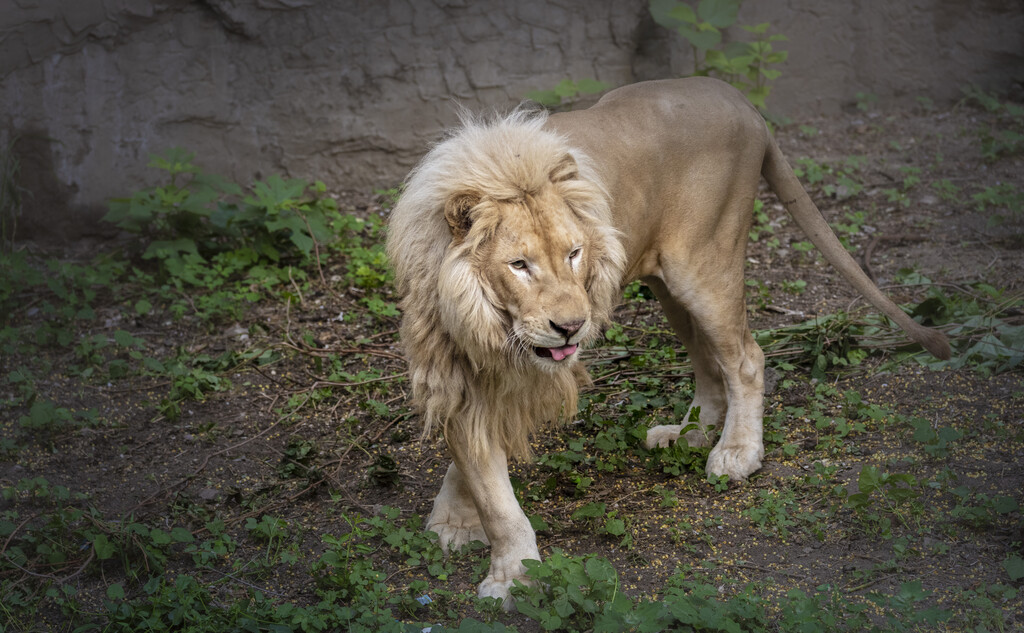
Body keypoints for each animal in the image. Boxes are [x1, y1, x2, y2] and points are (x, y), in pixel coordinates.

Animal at [385, 78, 950, 606]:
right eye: (519, 265)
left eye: (573, 253)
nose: (571, 326)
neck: (486, 323)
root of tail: (739, 100)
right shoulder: (454, 372)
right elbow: (484, 480)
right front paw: (463, 526)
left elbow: (498, 493)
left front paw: (513, 579)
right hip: (665, 282)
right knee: (708, 362)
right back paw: (691, 435)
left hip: (702, 265)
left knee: (745, 357)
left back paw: (737, 452)